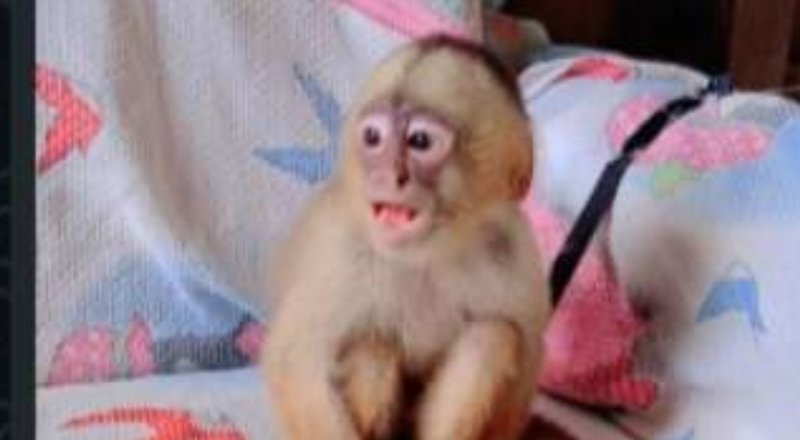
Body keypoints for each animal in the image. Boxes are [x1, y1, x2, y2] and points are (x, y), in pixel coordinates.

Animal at [263, 35, 551, 440]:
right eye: (373, 137)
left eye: (420, 140)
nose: (388, 175)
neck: (427, 254)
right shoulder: (339, 247)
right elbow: (297, 361)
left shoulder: (513, 251)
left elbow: (522, 375)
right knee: (372, 344)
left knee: (492, 337)